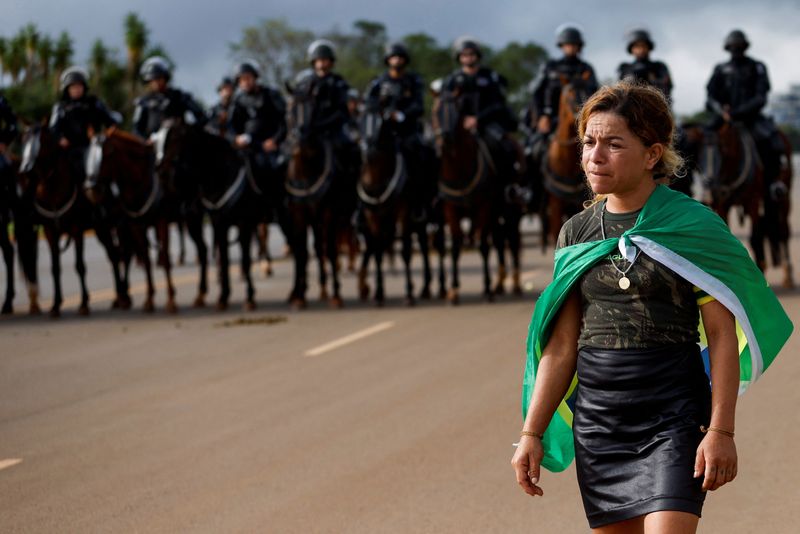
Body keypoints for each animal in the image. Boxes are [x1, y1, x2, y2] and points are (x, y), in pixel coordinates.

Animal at [354, 108, 432, 306]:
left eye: (379, 124)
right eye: (360, 122)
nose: (368, 152)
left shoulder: (403, 214)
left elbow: (405, 251)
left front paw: (409, 293)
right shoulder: (372, 217)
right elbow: (378, 252)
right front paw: (379, 293)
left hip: (419, 220)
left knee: (423, 246)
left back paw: (426, 288)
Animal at [434, 90, 496, 304]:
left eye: (457, 111)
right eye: (435, 111)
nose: (444, 138)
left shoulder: (485, 206)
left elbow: (483, 245)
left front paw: (488, 287)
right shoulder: (449, 208)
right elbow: (455, 244)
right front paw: (453, 288)